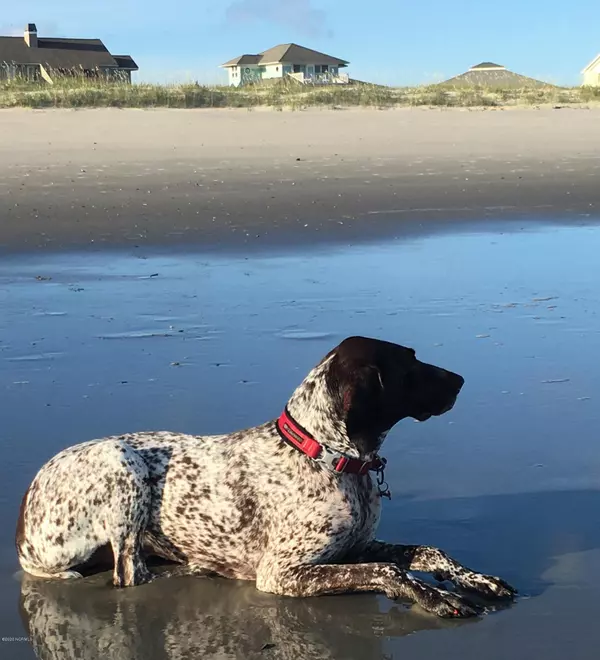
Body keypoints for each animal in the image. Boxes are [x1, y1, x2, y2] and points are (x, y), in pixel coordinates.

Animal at [15, 336, 516, 620]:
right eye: (409, 364)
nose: (461, 379)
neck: (328, 456)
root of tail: (23, 527)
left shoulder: (357, 545)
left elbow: (430, 551)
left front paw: (478, 579)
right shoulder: (282, 572)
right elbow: (389, 570)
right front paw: (433, 597)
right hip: (122, 460)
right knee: (128, 574)